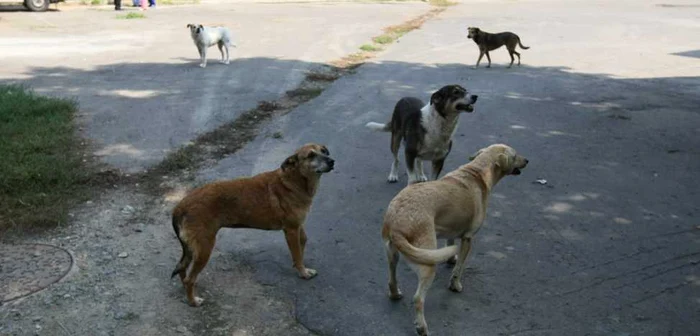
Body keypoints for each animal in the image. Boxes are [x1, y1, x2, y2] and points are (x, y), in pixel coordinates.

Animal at [170, 143, 334, 306]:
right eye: (311, 155)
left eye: (324, 151)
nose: (332, 161)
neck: (295, 180)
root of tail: (181, 206)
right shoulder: (291, 230)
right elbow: (297, 254)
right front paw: (303, 272)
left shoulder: (297, 226)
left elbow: (303, 242)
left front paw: (301, 266)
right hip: (204, 248)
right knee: (189, 278)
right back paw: (193, 301)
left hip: (192, 249)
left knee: (182, 269)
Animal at [380, 143, 528, 334]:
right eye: (515, 155)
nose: (527, 160)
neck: (478, 171)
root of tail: (396, 221)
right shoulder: (468, 239)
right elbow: (459, 268)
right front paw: (455, 285)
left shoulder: (451, 229)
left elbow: (450, 245)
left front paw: (451, 258)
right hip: (427, 264)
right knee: (418, 298)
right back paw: (422, 327)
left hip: (392, 255)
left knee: (391, 280)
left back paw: (395, 294)